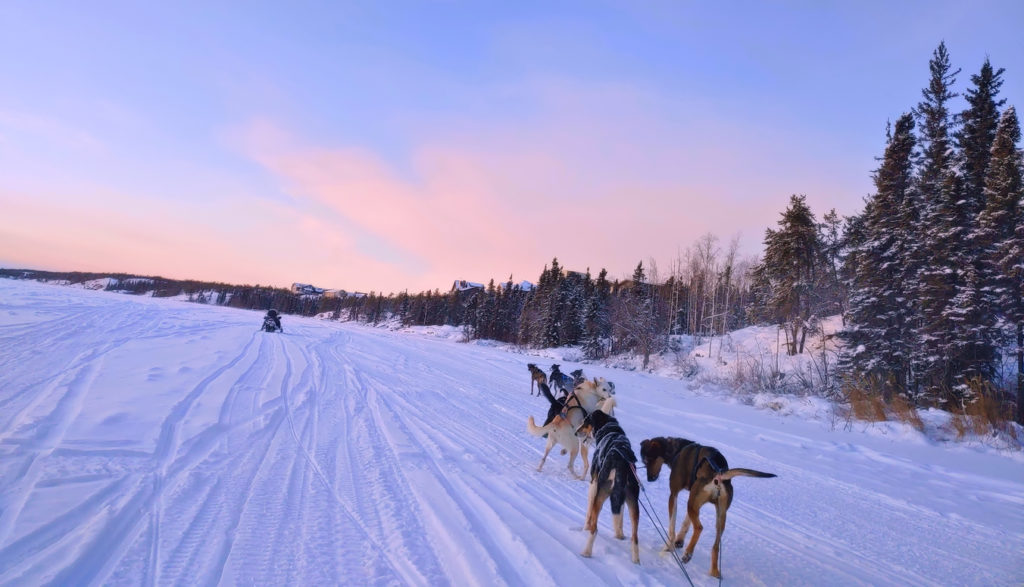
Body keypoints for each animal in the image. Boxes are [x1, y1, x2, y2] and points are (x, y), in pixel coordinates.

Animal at [638, 434, 774, 577]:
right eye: (644, 462)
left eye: (647, 460)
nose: (649, 479)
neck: (677, 449)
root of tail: (719, 474)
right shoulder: (693, 501)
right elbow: (686, 523)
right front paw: (679, 541)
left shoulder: (673, 495)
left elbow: (672, 527)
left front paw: (668, 547)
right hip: (718, 514)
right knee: (715, 546)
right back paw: (714, 571)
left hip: (694, 505)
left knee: (699, 527)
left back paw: (688, 553)